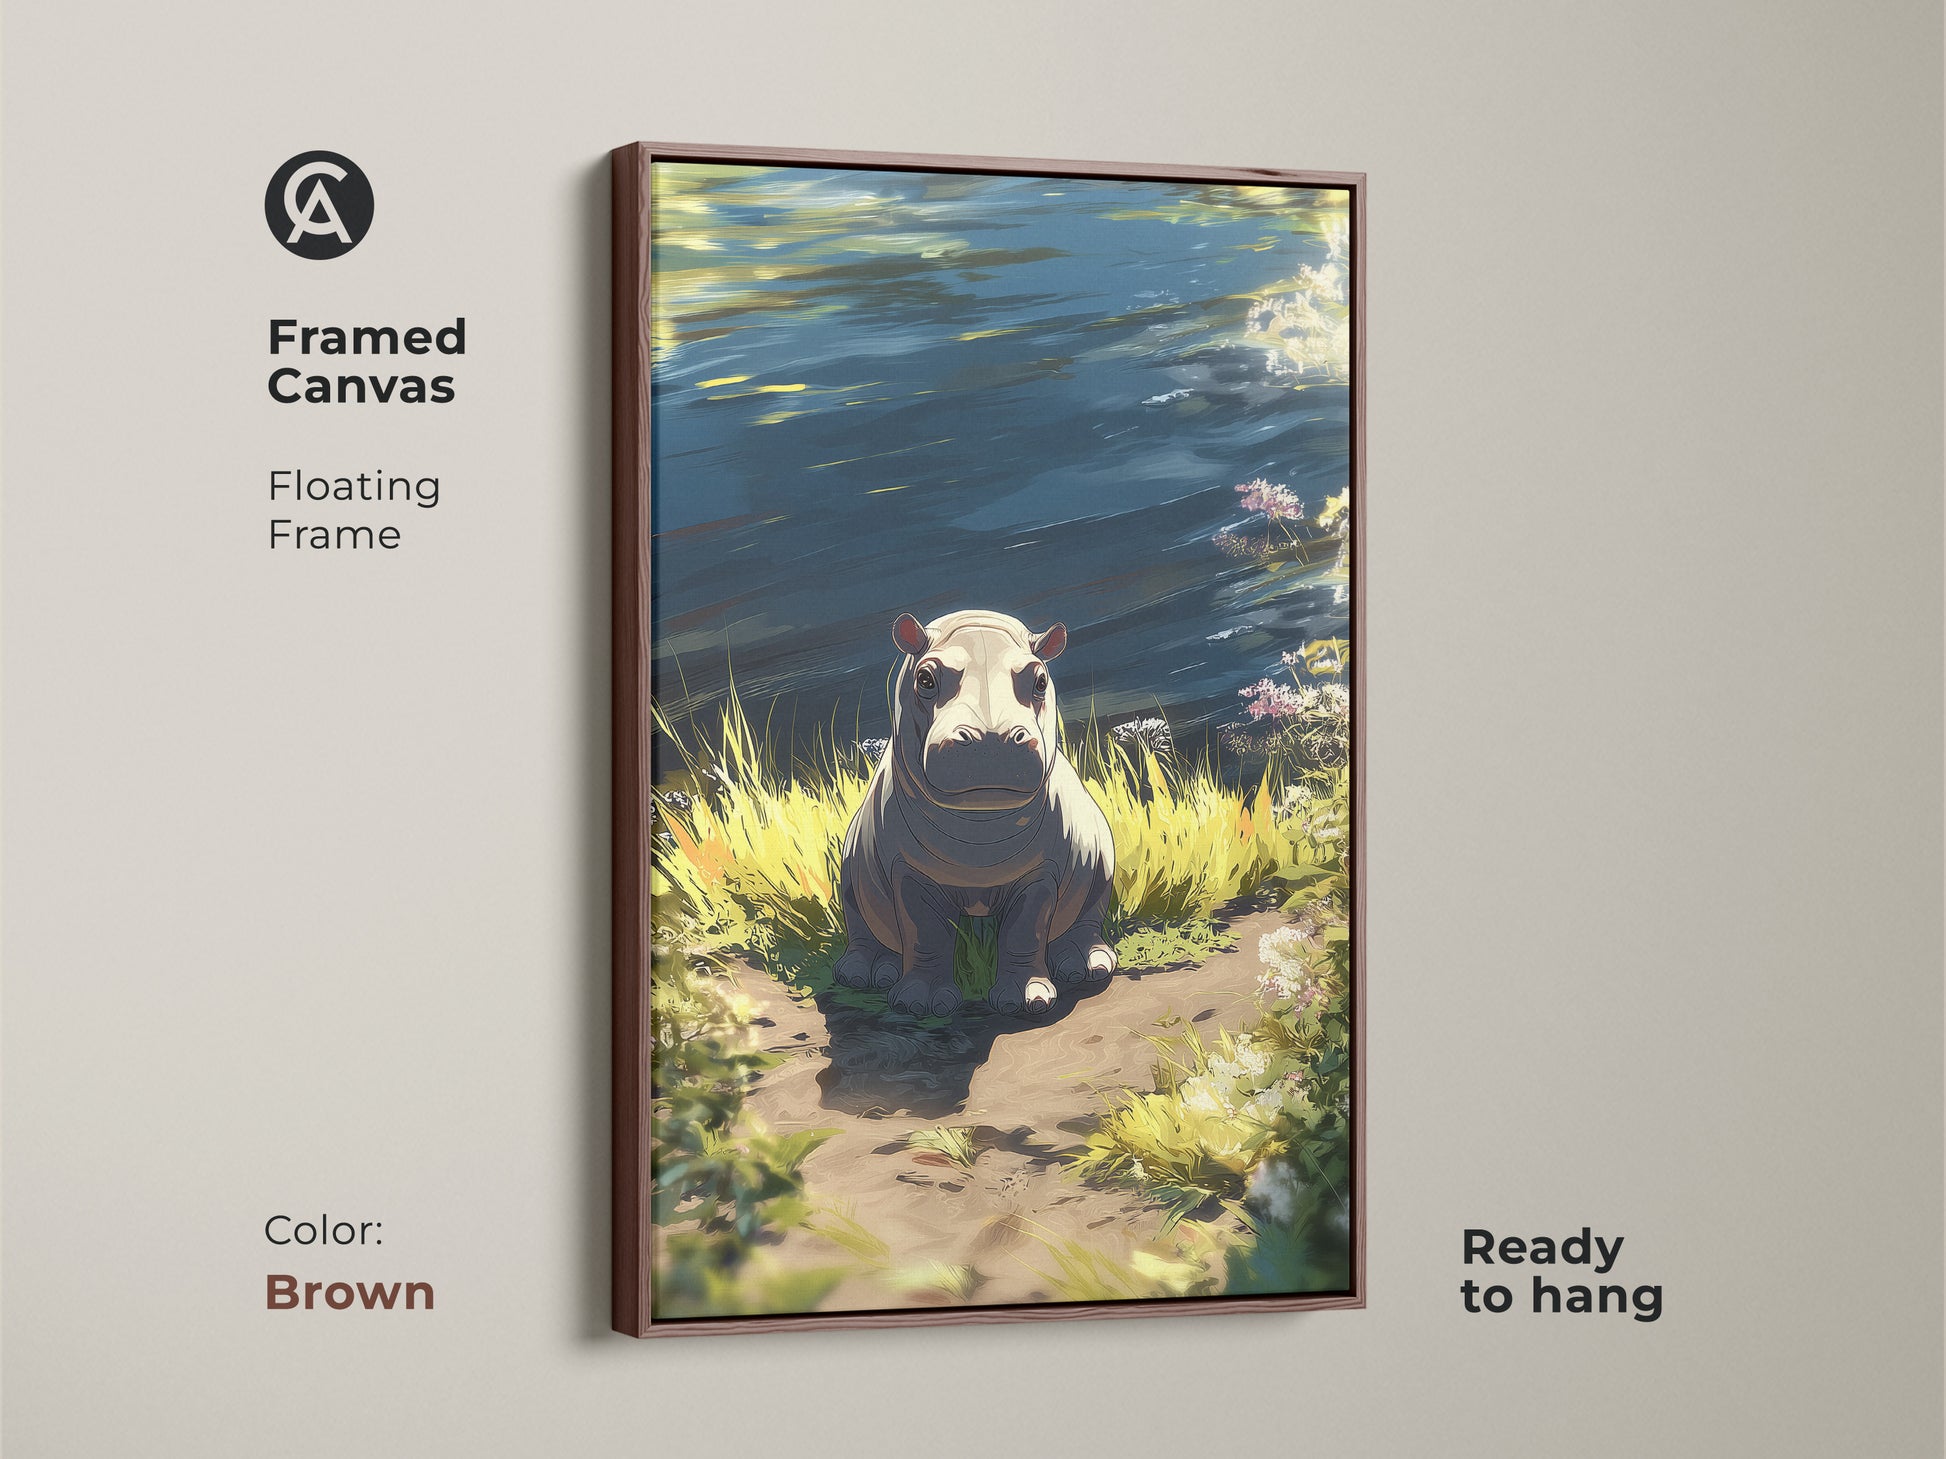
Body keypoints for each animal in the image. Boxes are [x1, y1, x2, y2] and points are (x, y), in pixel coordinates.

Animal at [835, 609, 1118, 1016]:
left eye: (1040, 679)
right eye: (925, 678)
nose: (991, 737)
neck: (979, 830)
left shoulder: (1041, 871)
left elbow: (1026, 929)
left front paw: (1025, 1000)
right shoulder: (910, 872)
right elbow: (925, 932)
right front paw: (920, 1002)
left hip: (1100, 861)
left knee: (1087, 913)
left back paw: (1088, 965)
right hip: (852, 869)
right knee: (862, 921)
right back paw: (864, 973)